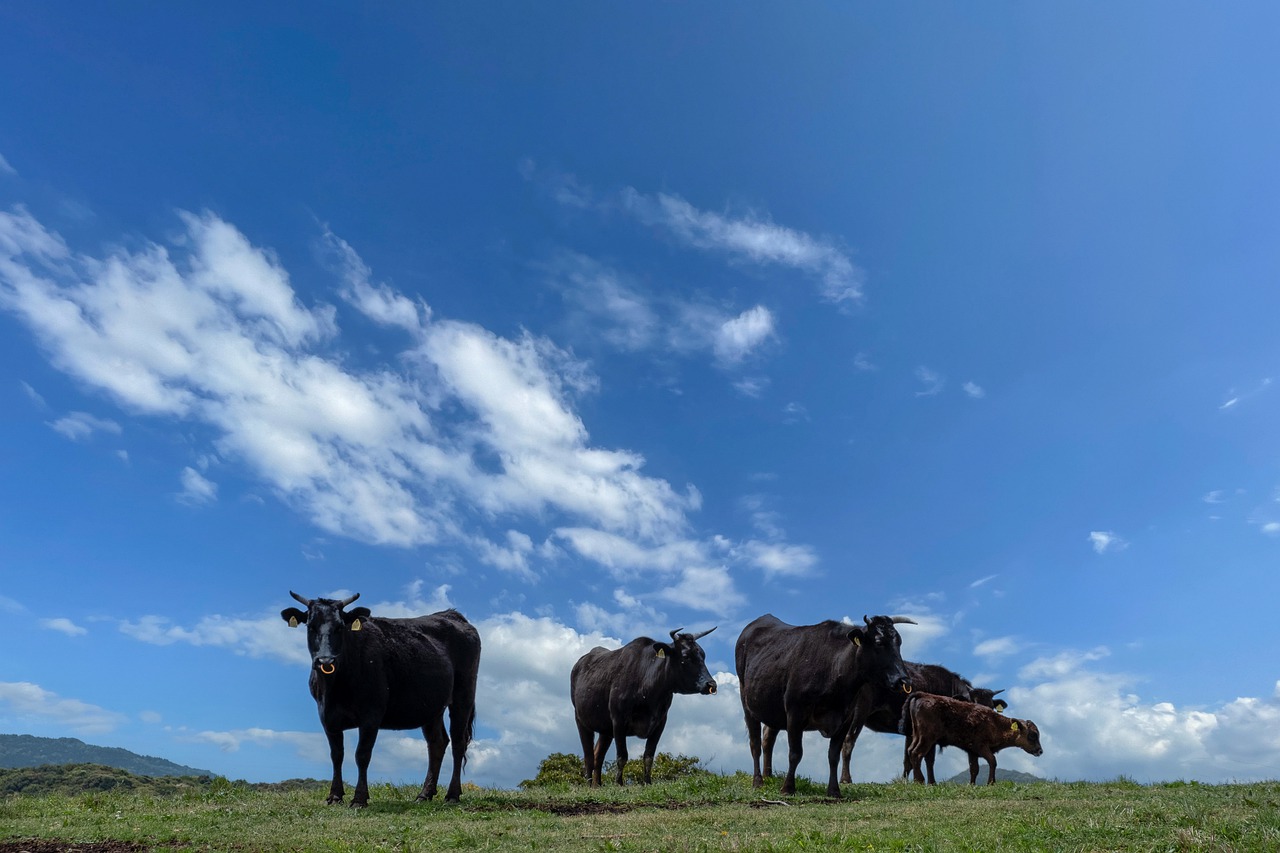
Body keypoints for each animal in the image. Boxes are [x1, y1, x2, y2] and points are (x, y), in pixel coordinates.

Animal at [280, 591, 481, 806]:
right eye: (310, 626)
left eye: (340, 627)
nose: (326, 660)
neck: (335, 689)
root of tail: (451, 614)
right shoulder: (327, 716)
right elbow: (337, 755)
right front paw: (334, 796)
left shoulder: (371, 714)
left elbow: (362, 755)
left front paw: (359, 798)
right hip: (432, 706)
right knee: (437, 743)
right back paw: (424, 794)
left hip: (463, 695)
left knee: (458, 742)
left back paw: (452, 795)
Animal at [571, 627, 717, 786]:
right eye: (686, 656)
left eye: (703, 655)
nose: (711, 684)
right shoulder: (618, 720)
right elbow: (622, 756)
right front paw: (619, 783)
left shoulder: (660, 722)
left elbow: (648, 756)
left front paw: (647, 782)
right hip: (581, 720)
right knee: (589, 756)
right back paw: (589, 784)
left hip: (605, 729)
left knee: (598, 755)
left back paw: (597, 786)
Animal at [735, 613, 915, 798]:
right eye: (879, 642)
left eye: (899, 642)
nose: (904, 680)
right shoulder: (795, 712)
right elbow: (795, 753)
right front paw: (788, 788)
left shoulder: (846, 719)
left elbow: (833, 755)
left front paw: (834, 790)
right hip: (747, 702)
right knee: (755, 744)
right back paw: (758, 781)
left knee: (767, 739)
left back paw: (768, 775)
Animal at [902, 693, 1042, 785]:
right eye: (1033, 735)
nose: (1040, 751)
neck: (995, 722)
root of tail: (922, 695)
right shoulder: (981, 747)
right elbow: (992, 761)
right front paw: (991, 783)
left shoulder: (972, 751)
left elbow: (974, 769)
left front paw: (972, 785)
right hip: (927, 738)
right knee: (917, 753)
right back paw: (920, 781)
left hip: (918, 736)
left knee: (911, 751)